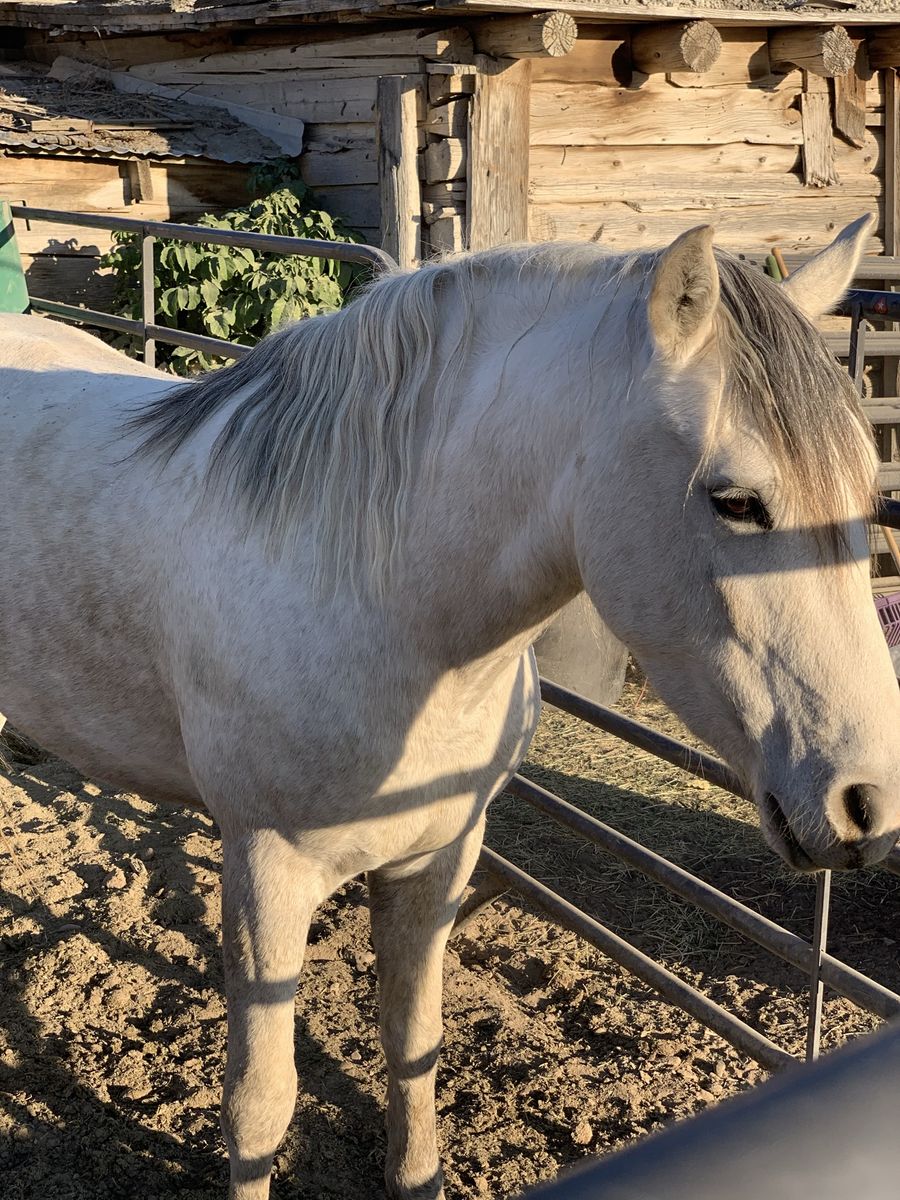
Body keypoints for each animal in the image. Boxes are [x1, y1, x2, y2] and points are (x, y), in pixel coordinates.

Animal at [1, 214, 898, 1200]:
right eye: (736, 501)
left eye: (866, 491)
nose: (869, 802)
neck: (376, 598)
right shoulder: (265, 872)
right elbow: (259, 1105)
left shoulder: (439, 857)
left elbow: (414, 1046)